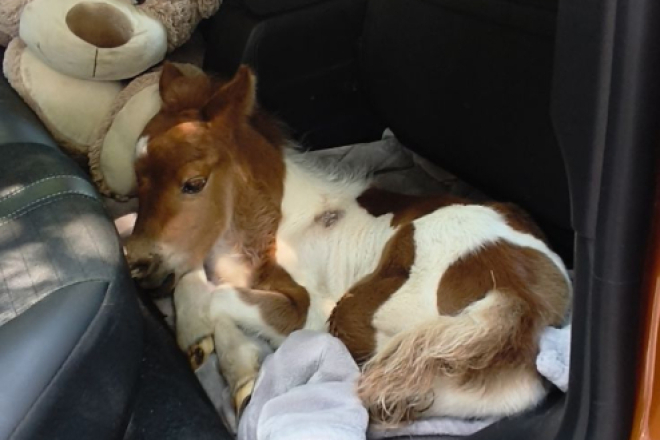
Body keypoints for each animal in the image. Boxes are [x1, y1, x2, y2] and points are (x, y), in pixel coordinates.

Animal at [124, 62, 571, 426]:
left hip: (354, 316)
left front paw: (212, 352)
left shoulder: (305, 315)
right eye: (137, 179)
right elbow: (189, 273)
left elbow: (214, 297)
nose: (137, 261)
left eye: (193, 183)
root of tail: (519, 301)